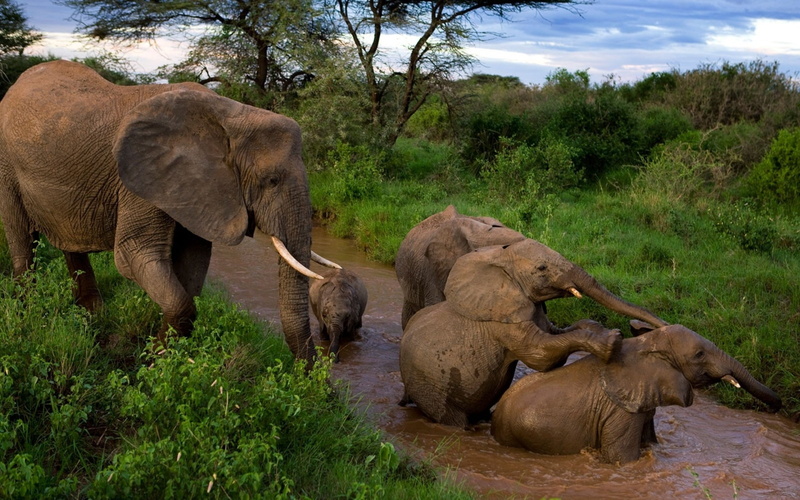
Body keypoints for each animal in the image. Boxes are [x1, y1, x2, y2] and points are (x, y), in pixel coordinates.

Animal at [0, 60, 338, 362]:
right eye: (271, 181)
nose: (314, 378)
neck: (232, 115)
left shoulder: (196, 190)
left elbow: (192, 265)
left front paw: (162, 356)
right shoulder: (143, 181)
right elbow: (135, 255)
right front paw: (153, 361)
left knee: (70, 243)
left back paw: (92, 315)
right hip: (6, 163)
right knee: (22, 239)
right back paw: (27, 314)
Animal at [399, 239, 668, 427]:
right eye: (541, 268)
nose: (663, 325)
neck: (500, 258)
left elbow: (557, 332)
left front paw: (598, 328)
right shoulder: (503, 319)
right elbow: (541, 355)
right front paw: (612, 341)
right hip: (431, 387)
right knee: (451, 418)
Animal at [491, 323, 783, 464]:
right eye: (699, 354)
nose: (778, 406)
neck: (647, 343)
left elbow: (650, 442)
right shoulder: (620, 410)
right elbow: (623, 459)